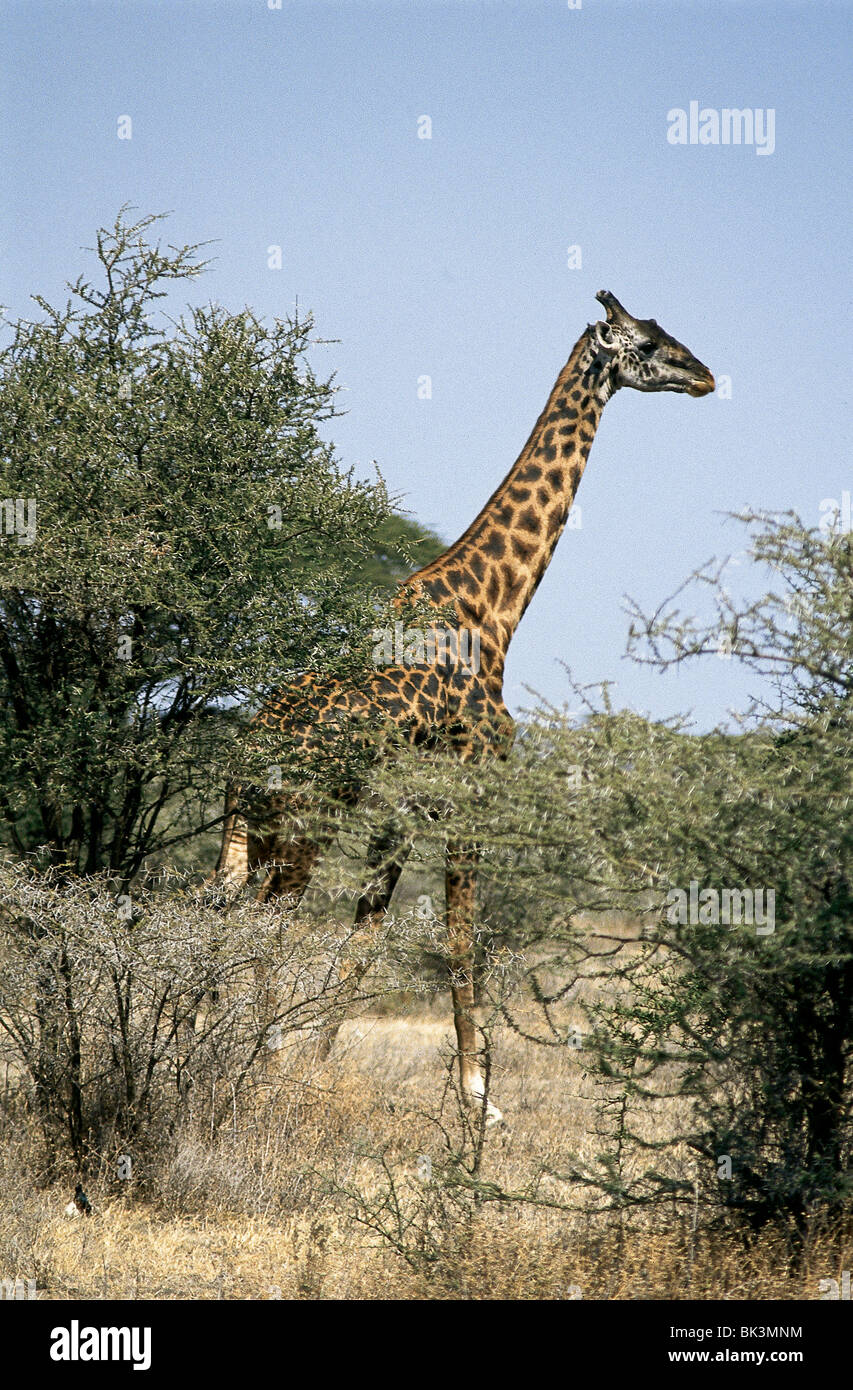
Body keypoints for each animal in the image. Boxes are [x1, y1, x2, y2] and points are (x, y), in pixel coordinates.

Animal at [213, 291, 714, 1122]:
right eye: (646, 343)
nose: (704, 374)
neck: (493, 609)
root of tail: (246, 753)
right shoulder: (473, 782)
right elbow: (457, 934)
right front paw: (480, 1099)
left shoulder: (404, 807)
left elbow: (366, 937)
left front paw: (317, 1063)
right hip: (302, 825)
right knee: (261, 927)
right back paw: (247, 1064)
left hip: (251, 829)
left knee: (217, 917)